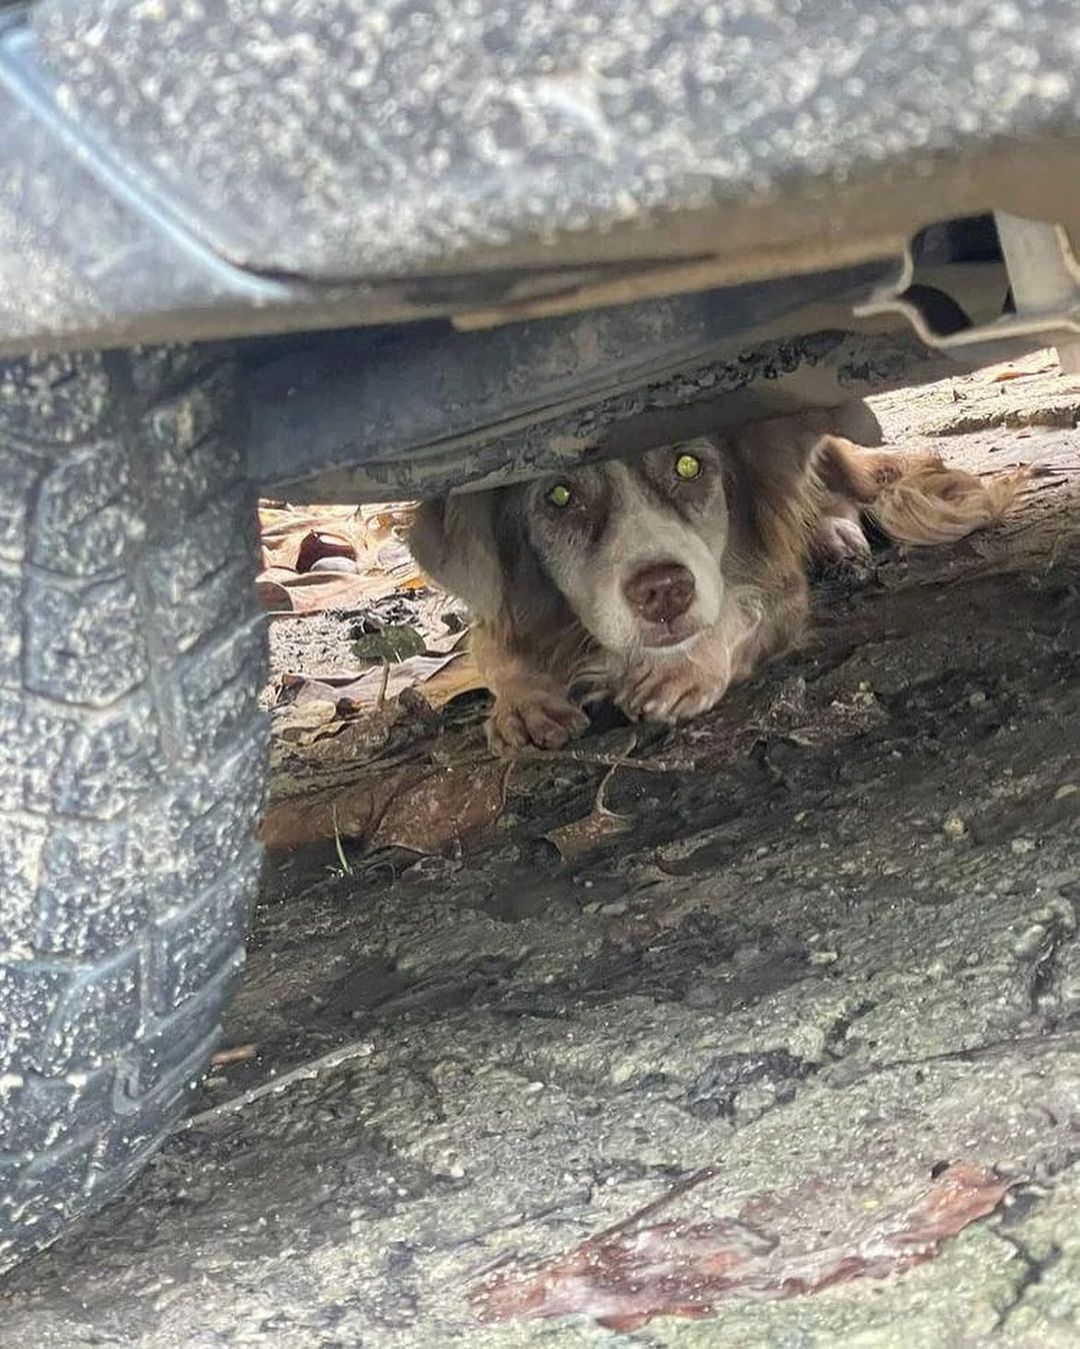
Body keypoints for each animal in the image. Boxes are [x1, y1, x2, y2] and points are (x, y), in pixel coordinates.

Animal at [409, 415, 1024, 755]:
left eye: (688, 466)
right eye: (559, 497)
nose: (663, 590)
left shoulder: (778, 593)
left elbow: (739, 609)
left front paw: (687, 666)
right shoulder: (501, 612)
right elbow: (496, 655)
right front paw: (524, 704)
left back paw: (834, 533)